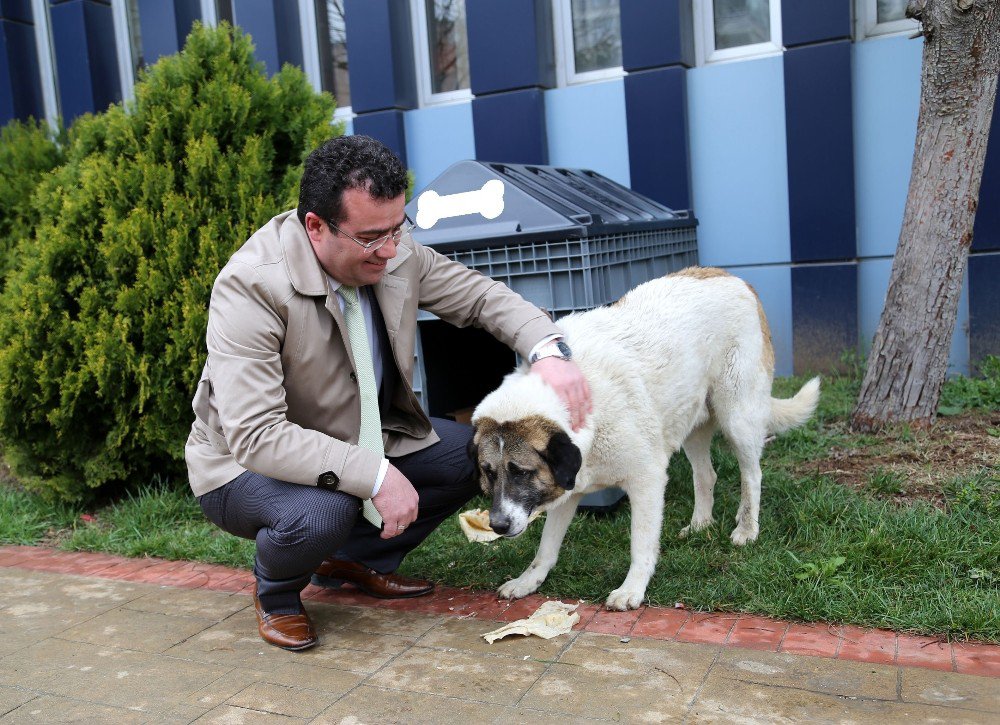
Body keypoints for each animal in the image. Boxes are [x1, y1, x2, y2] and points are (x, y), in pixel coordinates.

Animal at [468, 268, 820, 608]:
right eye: (489, 472)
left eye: (521, 472)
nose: (497, 526)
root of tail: (732, 277)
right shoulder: (569, 488)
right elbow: (545, 549)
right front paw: (528, 581)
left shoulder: (647, 481)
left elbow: (641, 545)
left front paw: (632, 589)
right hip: (690, 421)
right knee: (706, 475)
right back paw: (700, 524)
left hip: (737, 417)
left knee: (752, 475)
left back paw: (747, 528)